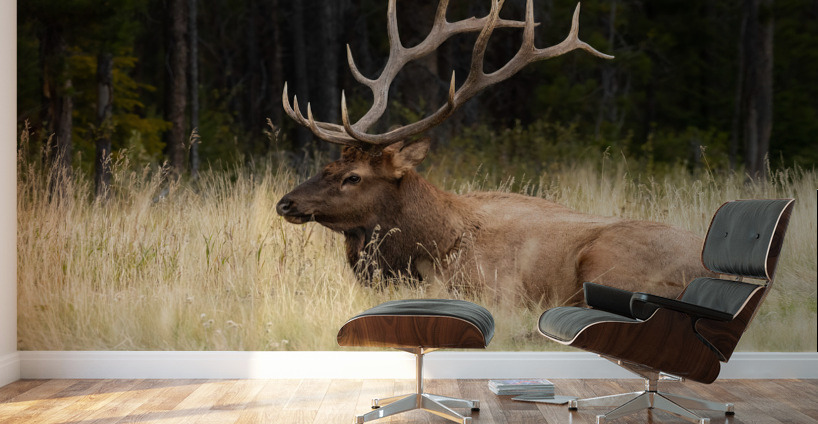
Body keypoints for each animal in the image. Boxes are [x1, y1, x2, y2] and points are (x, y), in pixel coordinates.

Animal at [276, 0, 712, 306]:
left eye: (354, 177)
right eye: (329, 165)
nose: (285, 203)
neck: (429, 244)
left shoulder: (489, 288)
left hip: (608, 261)